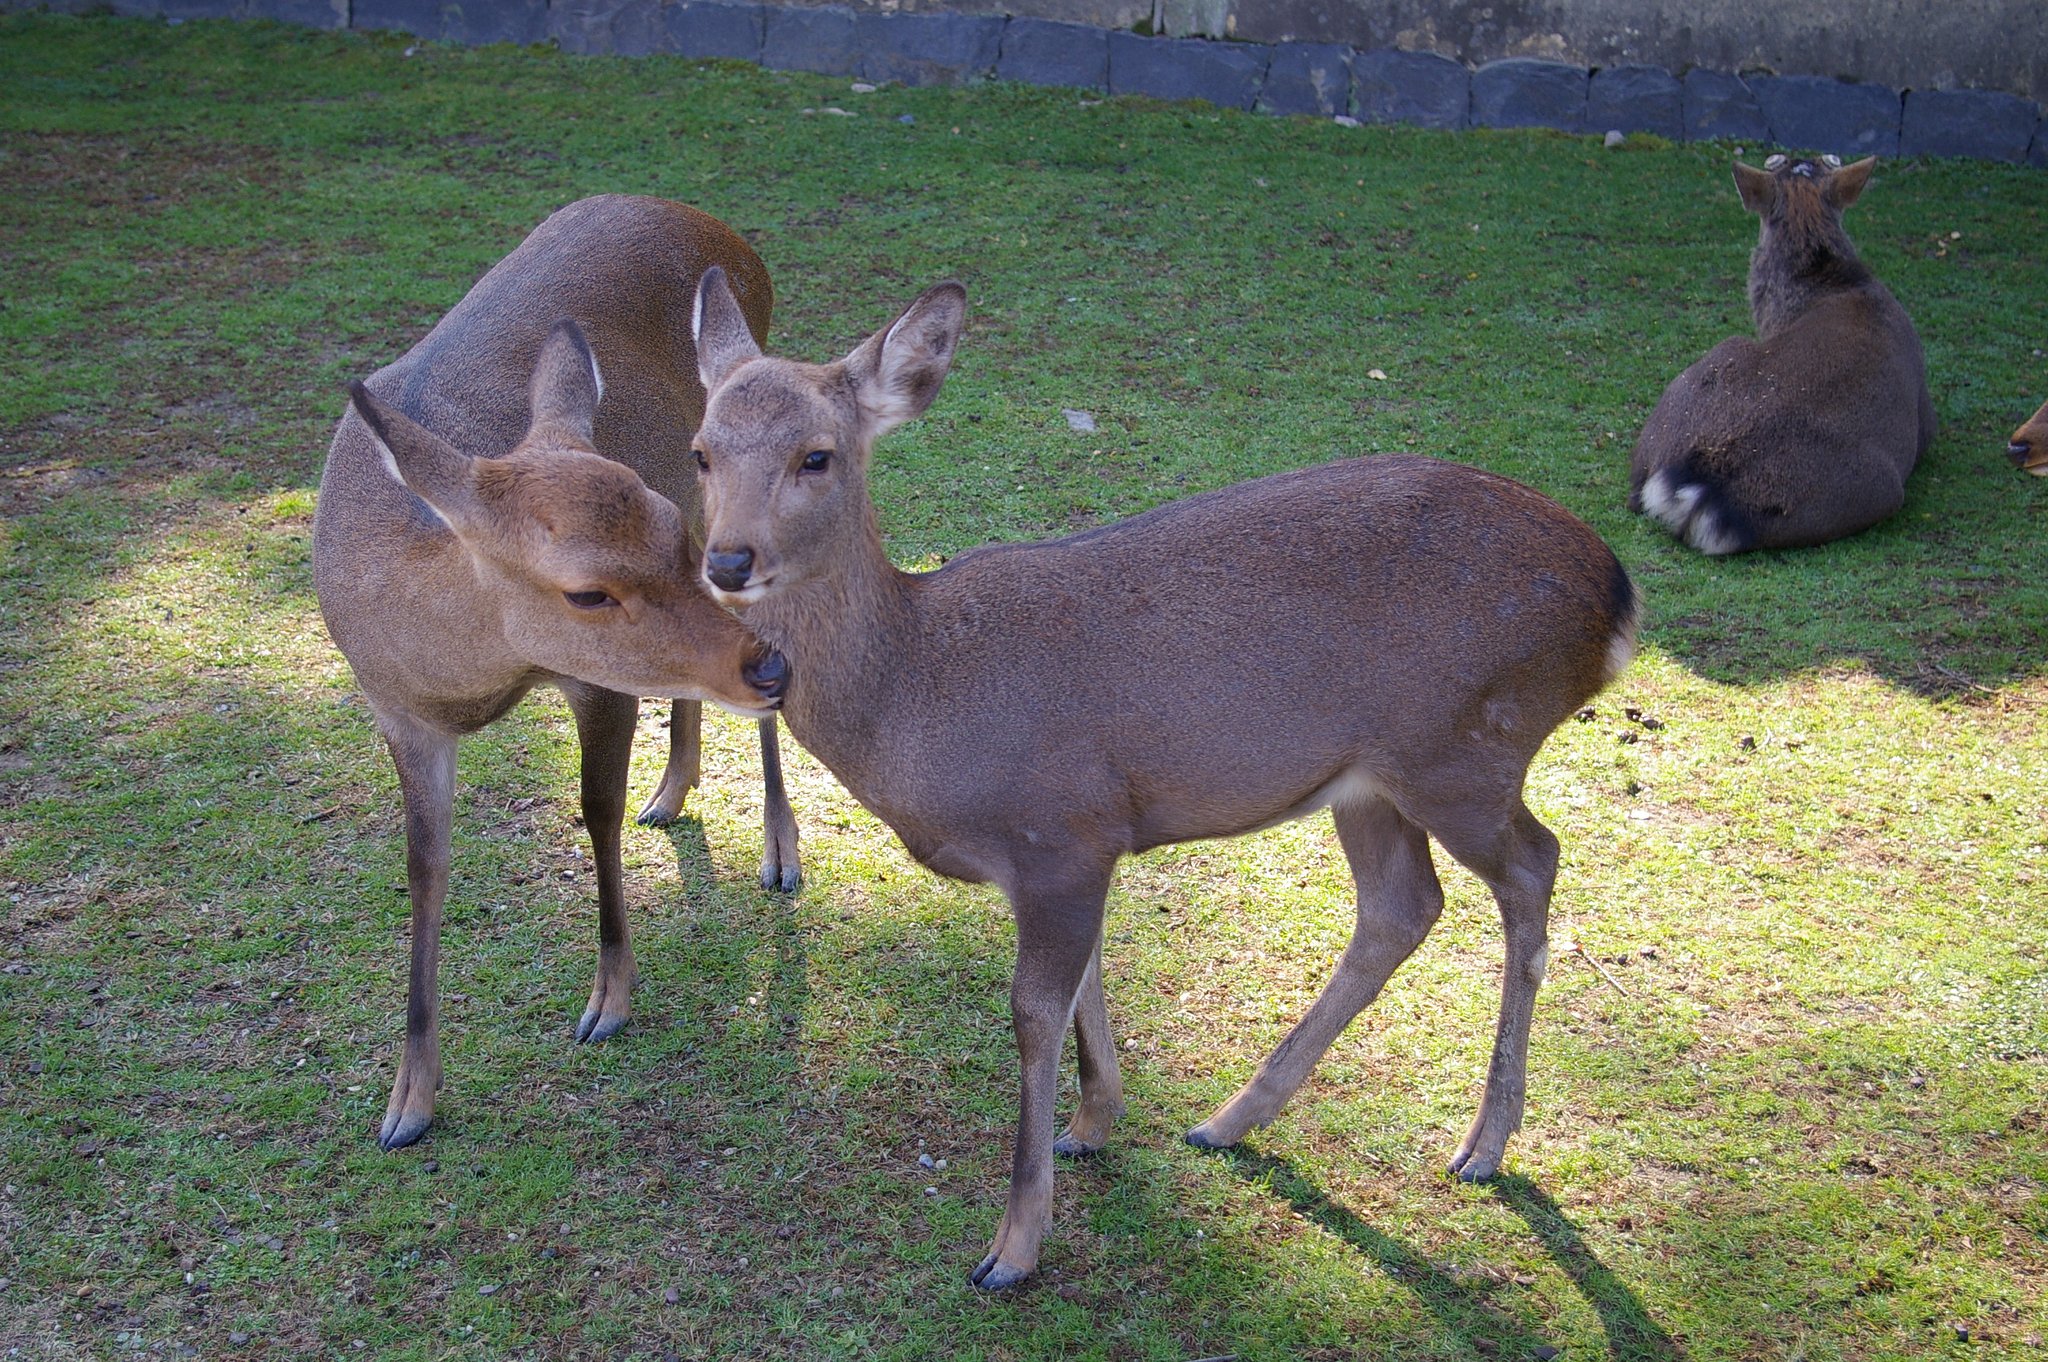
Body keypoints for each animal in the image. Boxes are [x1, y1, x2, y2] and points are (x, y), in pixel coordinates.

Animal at [312, 196, 799, 1152]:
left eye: (662, 528)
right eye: (586, 590)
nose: (769, 667)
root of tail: (729, 237)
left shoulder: (594, 681)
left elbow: (594, 811)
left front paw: (608, 1001)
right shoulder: (398, 714)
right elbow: (425, 868)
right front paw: (407, 1101)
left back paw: (778, 847)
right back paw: (673, 790)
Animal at [684, 267, 1640, 1290]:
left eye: (817, 456)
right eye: (700, 452)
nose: (727, 560)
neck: (922, 699)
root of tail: (1618, 601)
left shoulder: (1057, 829)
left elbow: (1033, 1011)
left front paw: (1012, 1247)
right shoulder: (1083, 843)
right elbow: (1087, 984)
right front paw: (1094, 1124)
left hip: (1465, 746)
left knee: (1533, 864)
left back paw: (1483, 1144)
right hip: (1371, 780)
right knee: (1403, 904)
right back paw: (1230, 1119)